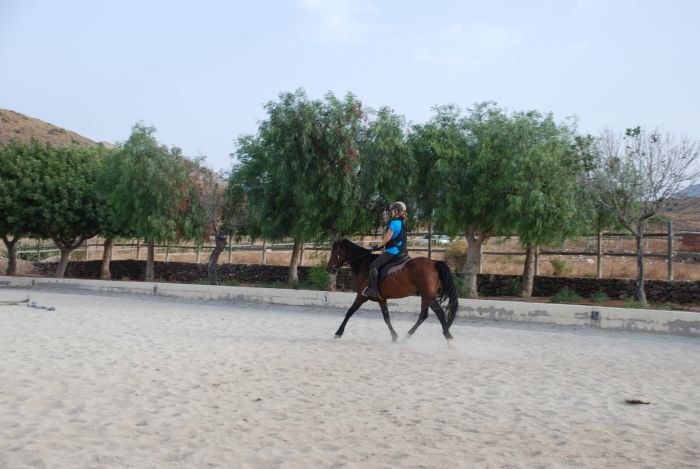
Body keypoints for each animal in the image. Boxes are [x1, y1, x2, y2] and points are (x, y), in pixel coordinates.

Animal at [326, 239, 460, 342]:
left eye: (335, 252)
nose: (329, 269)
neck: (364, 264)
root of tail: (434, 263)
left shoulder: (361, 296)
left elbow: (349, 312)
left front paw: (338, 333)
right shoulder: (381, 299)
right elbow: (387, 318)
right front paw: (394, 337)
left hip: (428, 296)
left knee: (439, 313)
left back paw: (449, 338)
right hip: (426, 296)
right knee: (423, 315)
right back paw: (407, 336)